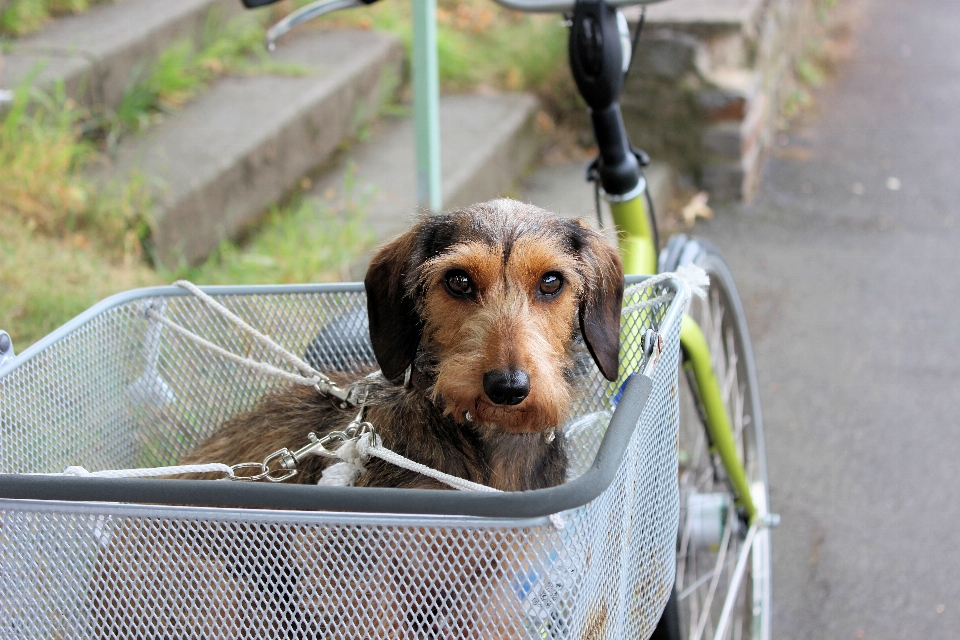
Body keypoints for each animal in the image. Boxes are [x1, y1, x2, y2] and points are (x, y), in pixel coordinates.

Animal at [94, 199, 628, 636]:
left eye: (551, 281)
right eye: (458, 280)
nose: (508, 387)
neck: (481, 449)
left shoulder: (494, 591)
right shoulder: (358, 580)